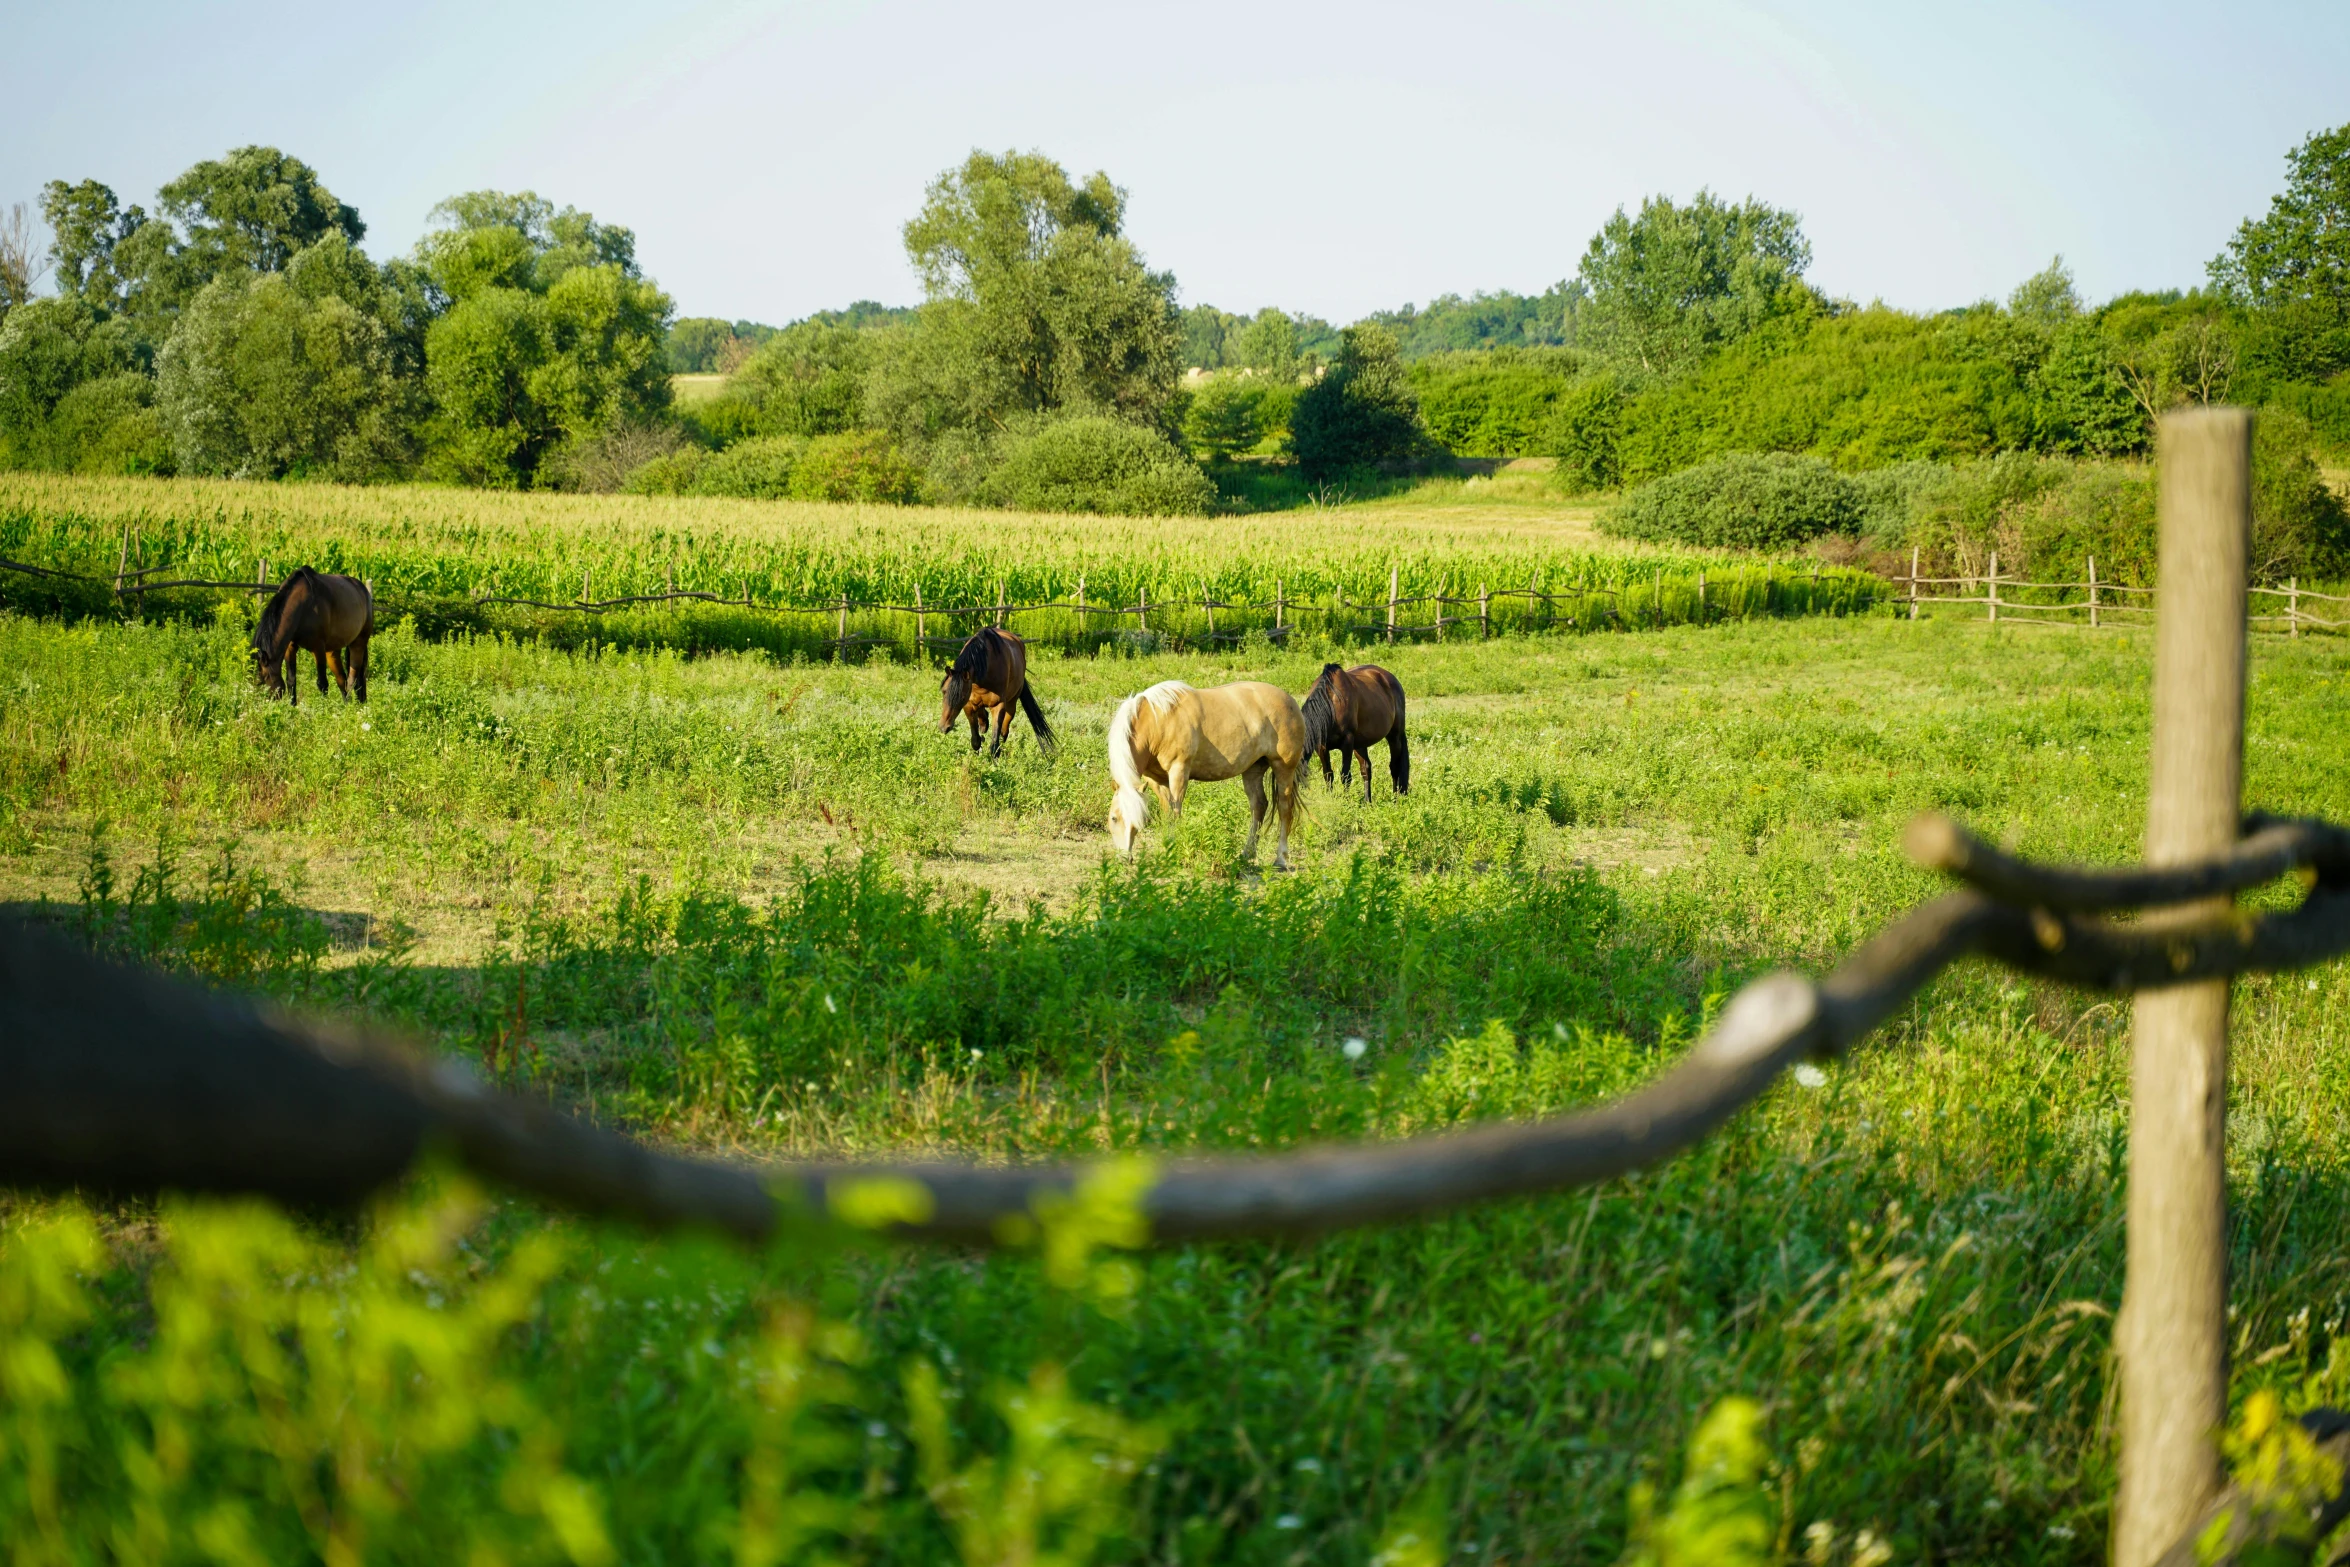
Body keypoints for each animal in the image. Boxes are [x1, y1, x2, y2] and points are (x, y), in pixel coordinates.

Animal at [251, 570, 371, 704]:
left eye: (265, 676)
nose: (269, 702)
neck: (303, 605)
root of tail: (363, 590)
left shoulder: (318, 648)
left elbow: (322, 683)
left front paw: (323, 707)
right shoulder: (290, 647)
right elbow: (291, 680)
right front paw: (292, 706)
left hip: (358, 643)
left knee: (352, 679)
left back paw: (352, 706)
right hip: (333, 651)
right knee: (342, 679)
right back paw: (346, 705)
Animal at [935, 624, 1057, 761]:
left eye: (961, 696)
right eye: (944, 691)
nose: (943, 727)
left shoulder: (998, 706)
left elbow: (994, 744)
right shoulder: (969, 705)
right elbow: (975, 740)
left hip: (1012, 702)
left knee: (1004, 730)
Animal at [1113, 676, 1316, 869]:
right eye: (1114, 818)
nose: (1124, 858)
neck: (1158, 720)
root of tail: (1289, 699)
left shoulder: (1179, 771)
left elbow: (1176, 812)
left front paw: (1173, 852)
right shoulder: (1155, 780)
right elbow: (1167, 814)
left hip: (1283, 767)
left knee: (1284, 808)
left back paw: (1281, 858)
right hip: (1253, 769)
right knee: (1259, 805)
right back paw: (1247, 854)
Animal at [1297, 667, 1400, 803]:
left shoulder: (1347, 742)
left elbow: (1345, 775)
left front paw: (1345, 801)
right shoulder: (1321, 747)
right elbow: (1328, 774)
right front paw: (1330, 798)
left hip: (1395, 735)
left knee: (1395, 766)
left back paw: (1396, 799)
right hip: (1360, 744)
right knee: (1366, 768)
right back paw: (1367, 801)